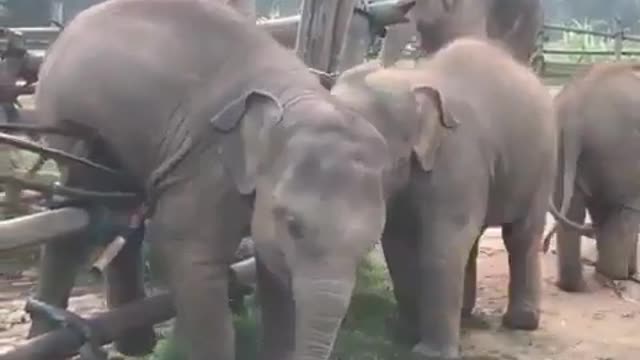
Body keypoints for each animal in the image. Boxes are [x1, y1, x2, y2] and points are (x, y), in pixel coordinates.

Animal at [27, 0, 388, 360]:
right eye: (293, 225)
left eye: (370, 244)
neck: (294, 100)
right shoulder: (208, 167)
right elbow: (194, 261)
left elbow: (276, 276)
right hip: (68, 118)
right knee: (75, 210)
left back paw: (136, 347)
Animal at [332, 38, 556, 358]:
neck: (411, 79)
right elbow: (398, 245)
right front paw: (404, 334)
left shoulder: (458, 158)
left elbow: (442, 244)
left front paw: (428, 353)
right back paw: (463, 314)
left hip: (542, 165)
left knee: (521, 235)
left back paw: (521, 323)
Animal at [552, 62, 640, 292]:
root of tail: (574, 113)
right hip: (620, 152)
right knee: (626, 209)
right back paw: (618, 276)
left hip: (561, 149)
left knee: (574, 210)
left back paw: (574, 286)